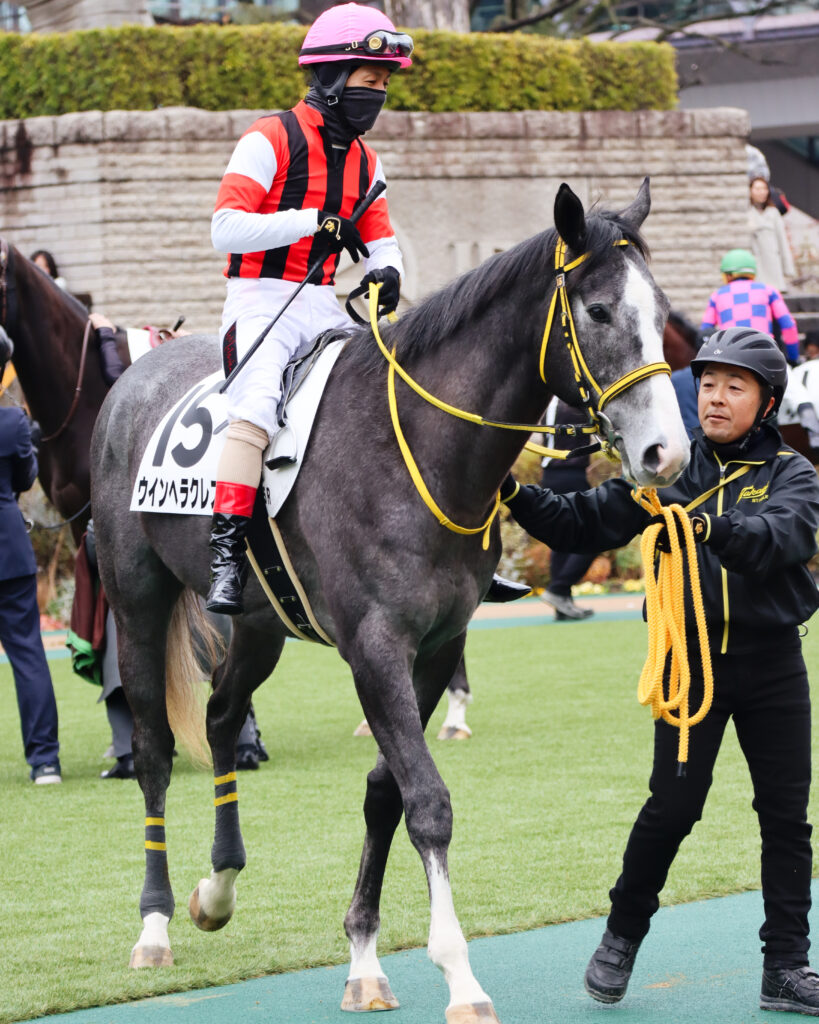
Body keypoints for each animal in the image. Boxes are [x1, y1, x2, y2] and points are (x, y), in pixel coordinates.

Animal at [90, 179, 689, 1022]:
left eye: (660, 306)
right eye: (599, 311)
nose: (665, 452)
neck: (415, 448)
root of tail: (137, 376)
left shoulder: (433, 647)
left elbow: (385, 792)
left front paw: (364, 959)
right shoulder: (374, 647)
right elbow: (427, 801)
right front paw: (459, 975)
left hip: (258, 625)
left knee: (219, 716)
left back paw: (218, 888)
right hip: (137, 599)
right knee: (152, 748)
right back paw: (155, 923)